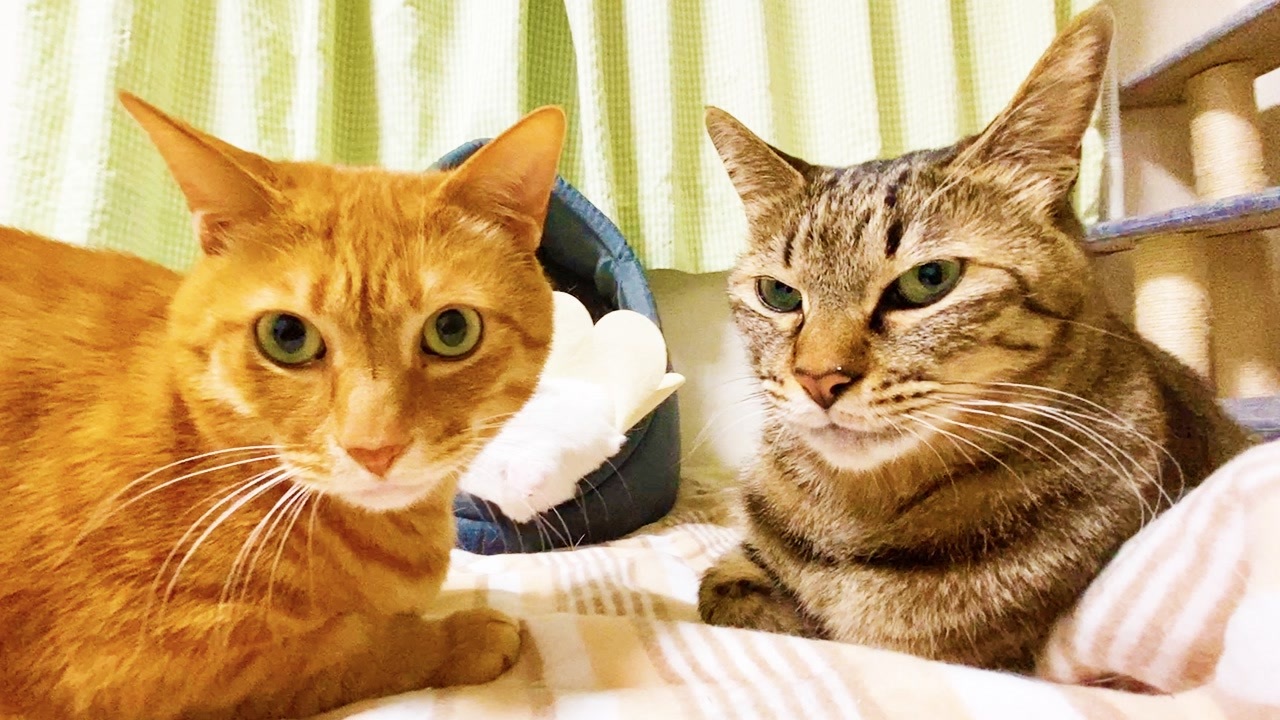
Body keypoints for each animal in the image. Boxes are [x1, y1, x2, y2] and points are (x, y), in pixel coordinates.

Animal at [0, 92, 564, 719]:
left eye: (452, 329)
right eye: (287, 336)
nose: (375, 449)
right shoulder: (137, 673)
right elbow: (348, 645)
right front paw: (458, 636)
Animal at [696, 5, 1254, 671]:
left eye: (929, 279)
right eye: (778, 294)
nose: (817, 378)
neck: (855, 521)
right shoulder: (740, 566)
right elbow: (730, 591)